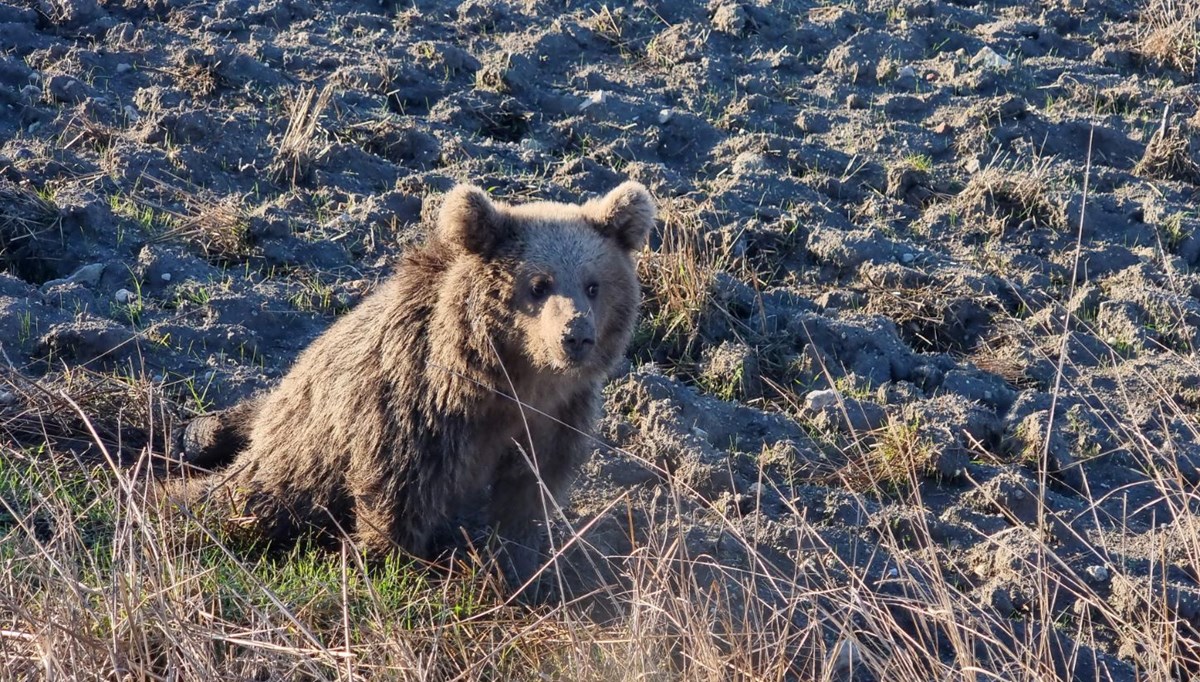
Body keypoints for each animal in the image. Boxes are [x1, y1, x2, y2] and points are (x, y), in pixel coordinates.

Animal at [169, 180, 657, 581]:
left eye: (593, 285)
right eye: (539, 284)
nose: (575, 336)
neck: (514, 381)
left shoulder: (555, 421)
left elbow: (526, 500)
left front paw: (517, 571)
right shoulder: (419, 407)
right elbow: (399, 492)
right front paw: (387, 565)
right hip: (301, 455)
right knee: (248, 498)